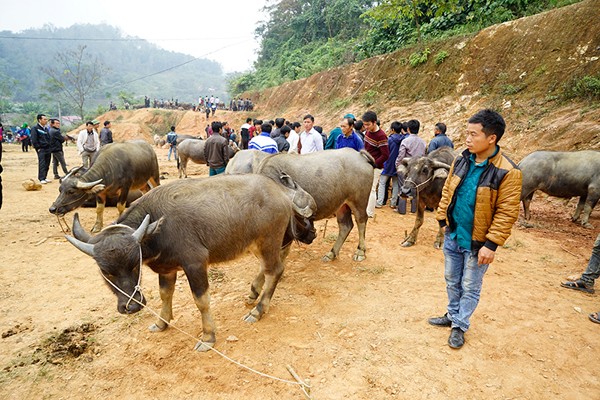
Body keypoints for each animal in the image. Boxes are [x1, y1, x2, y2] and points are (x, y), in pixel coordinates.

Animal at [65, 175, 318, 350]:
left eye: (134, 264)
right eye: (105, 271)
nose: (132, 307)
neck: (158, 227)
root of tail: (281, 193)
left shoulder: (195, 264)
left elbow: (201, 301)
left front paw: (208, 337)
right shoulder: (167, 268)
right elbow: (165, 294)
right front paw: (161, 323)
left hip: (268, 241)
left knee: (275, 270)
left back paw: (257, 311)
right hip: (259, 244)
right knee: (267, 269)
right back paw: (253, 293)